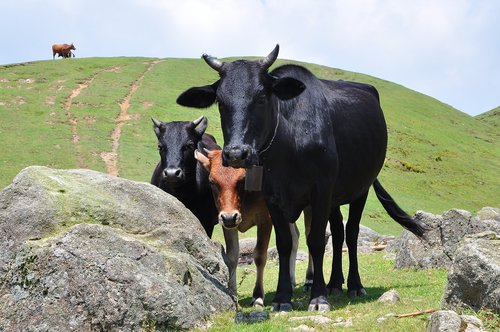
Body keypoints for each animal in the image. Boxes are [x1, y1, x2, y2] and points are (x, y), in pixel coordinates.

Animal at [194, 148, 296, 306]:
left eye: (242, 179)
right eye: (211, 181)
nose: (230, 217)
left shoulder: (266, 220)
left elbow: (260, 256)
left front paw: (258, 296)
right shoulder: (227, 224)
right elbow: (232, 257)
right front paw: (233, 294)